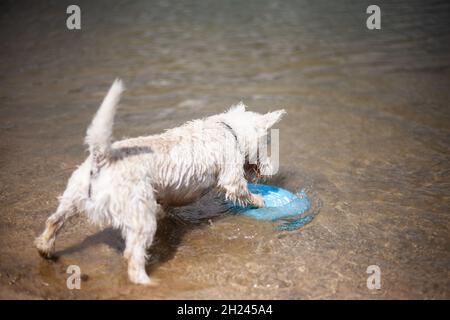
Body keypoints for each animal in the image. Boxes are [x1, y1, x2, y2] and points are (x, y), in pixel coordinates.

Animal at [37, 79, 286, 284]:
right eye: (267, 143)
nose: (271, 169)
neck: (229, 129)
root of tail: (102, 156)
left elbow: (166, 206)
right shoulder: (231, 177)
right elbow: (245, 192)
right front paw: (261, 200)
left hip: (74, 195)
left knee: (54, 221)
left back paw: (44, 248)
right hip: (139, 215)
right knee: (133, 254)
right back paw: (146, 280)